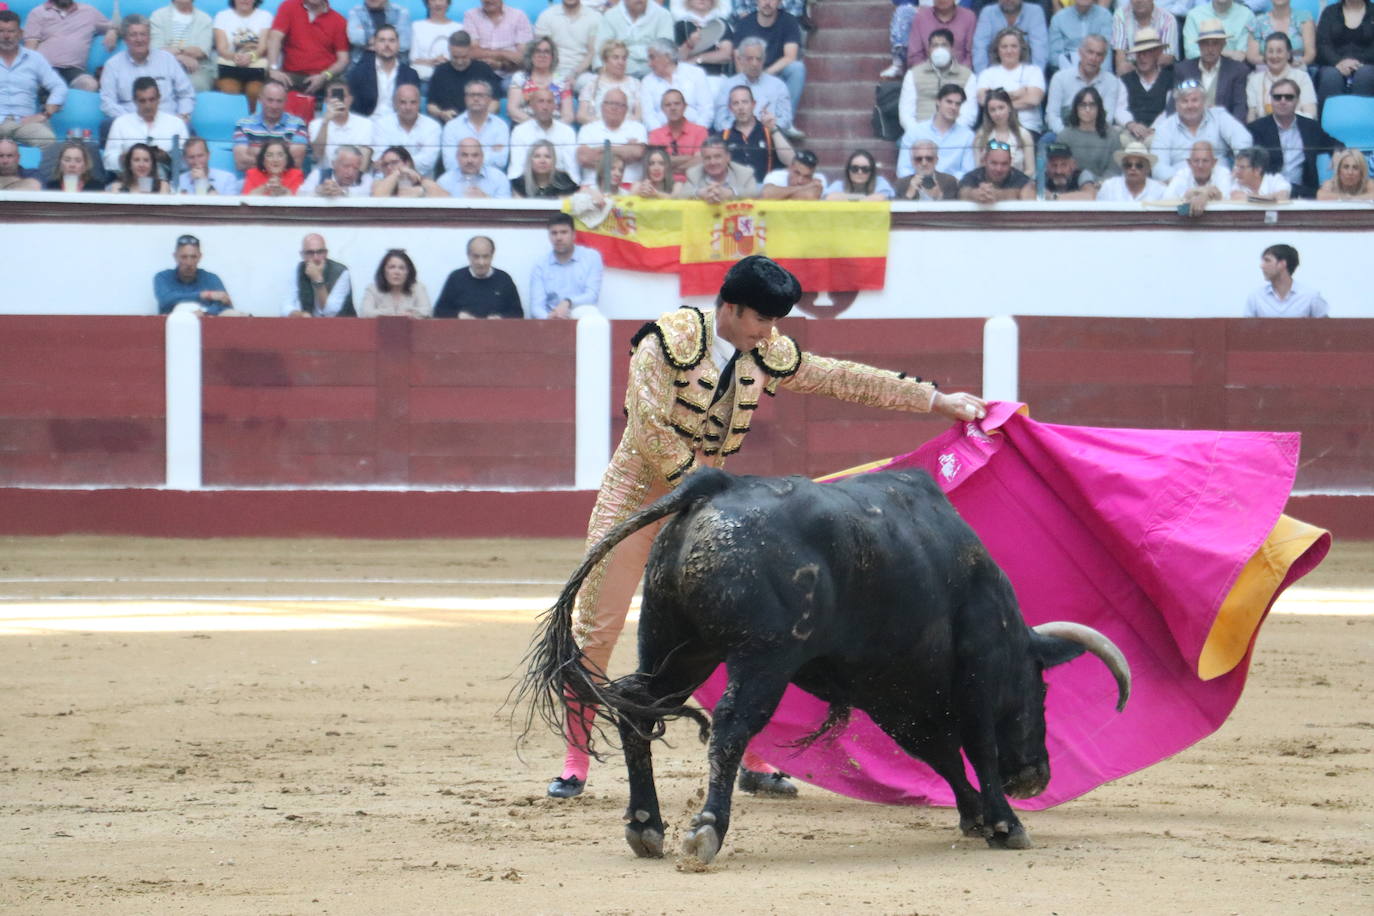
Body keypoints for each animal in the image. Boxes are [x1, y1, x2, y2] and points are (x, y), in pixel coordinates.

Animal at [519, 469, 1132, 862]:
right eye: (1041, 690)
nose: (1035, 776)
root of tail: (713, 483)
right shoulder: (975, 673)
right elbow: (975, 745)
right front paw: (1006, 823)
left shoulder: (893, 694)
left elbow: (939, 753)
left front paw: (978, 815)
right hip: (762, 657)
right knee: (731, 725)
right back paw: (706, 831)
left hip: (679, 646)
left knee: (639, 707)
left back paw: (646, 825)